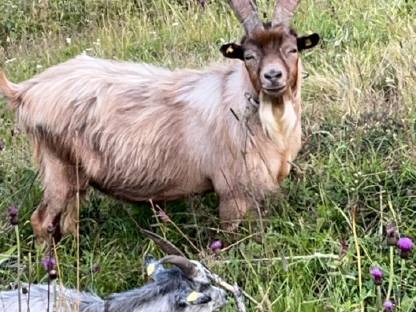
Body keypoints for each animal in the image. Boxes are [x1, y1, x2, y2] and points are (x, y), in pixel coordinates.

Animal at [0, 0, 320, 241]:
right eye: (249, 56)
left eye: (292, 49)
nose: (273, 76)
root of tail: (26, 90)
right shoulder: (232, 191)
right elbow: (234, 238)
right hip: (59, 165)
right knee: (41, 220)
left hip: (74, 174)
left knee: (68, 220)